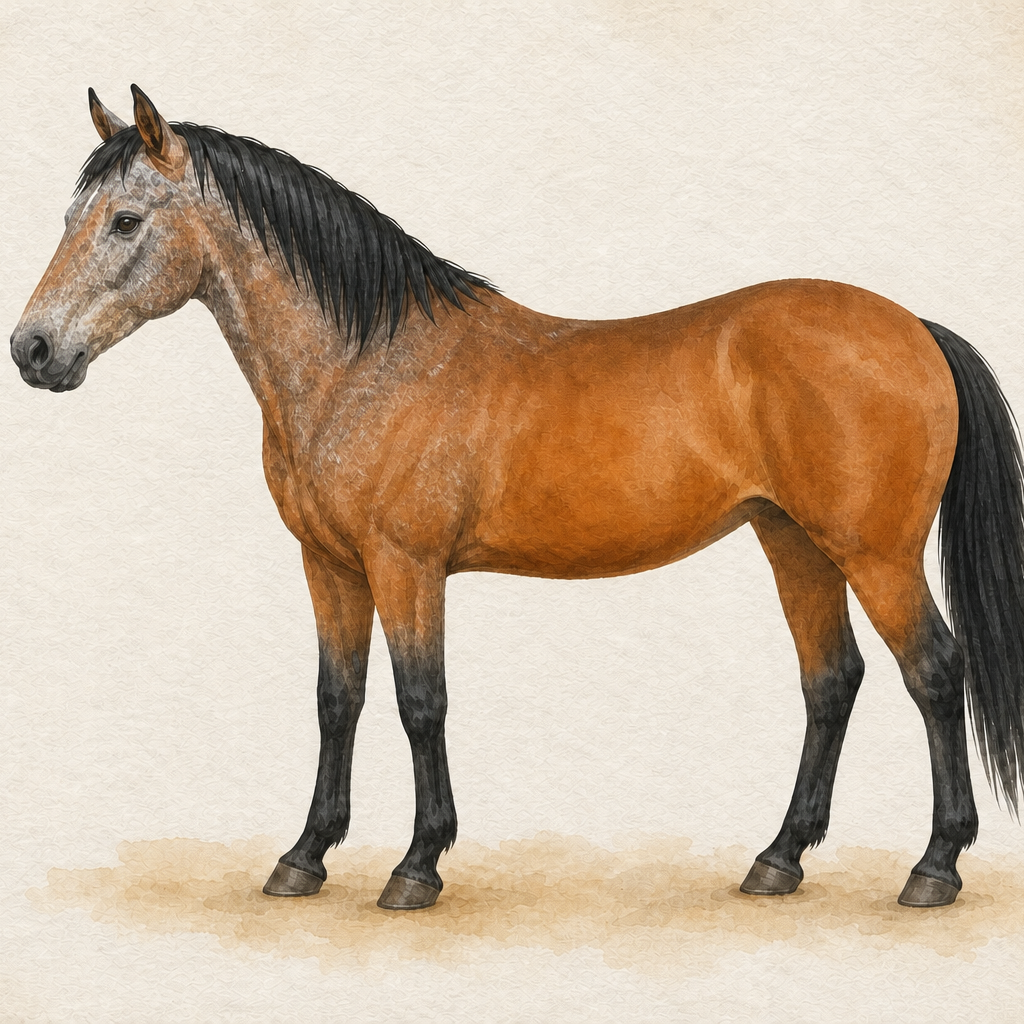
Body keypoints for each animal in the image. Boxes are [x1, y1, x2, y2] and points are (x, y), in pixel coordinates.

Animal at [11, 86, 1024, 911]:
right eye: (72, 215)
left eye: (126, 220)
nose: (33, 350)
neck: (366, 362)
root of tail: (913, 327)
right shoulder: (329, 564)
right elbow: (338, 699)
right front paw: (303, 858)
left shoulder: (406, 565)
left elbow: (421, 701)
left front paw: (417, 868)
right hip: (793, 542)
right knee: (832, 681)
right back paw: (778, 861)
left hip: (873, 553)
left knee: (935, 673)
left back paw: (934, 869)